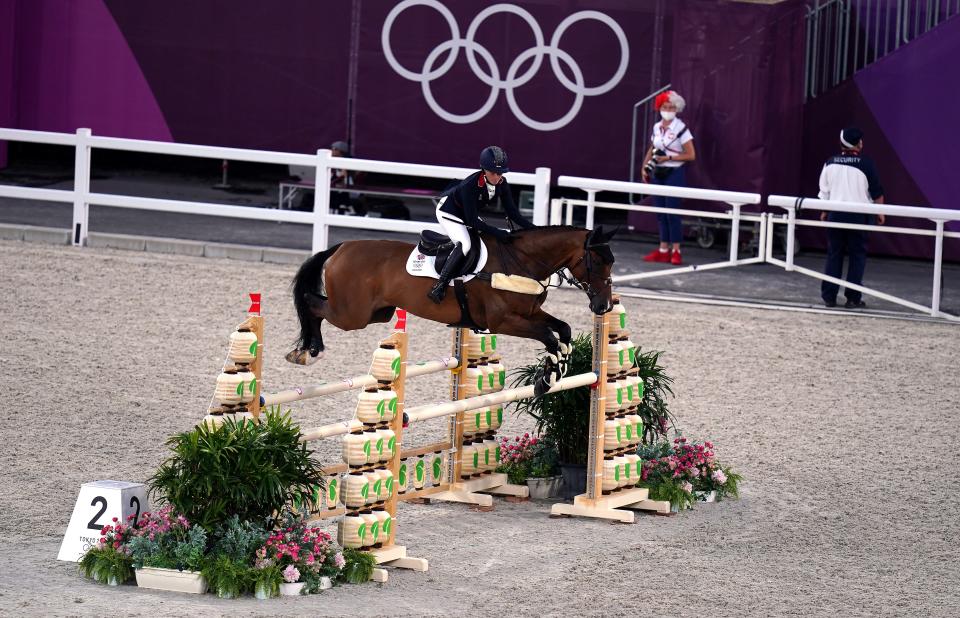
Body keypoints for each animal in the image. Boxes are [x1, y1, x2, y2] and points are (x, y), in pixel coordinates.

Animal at [284, 225, 616, 394]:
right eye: (599, 261)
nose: (603, 306)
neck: (521, 262)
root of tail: (342, 247)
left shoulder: (530, 314)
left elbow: (563, 330)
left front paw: (555, 372)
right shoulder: (503, 321)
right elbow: (548, 336)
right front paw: (545, 379)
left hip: (377, 313)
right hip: (352, 315)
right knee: (311, 302)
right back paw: (307, 352)